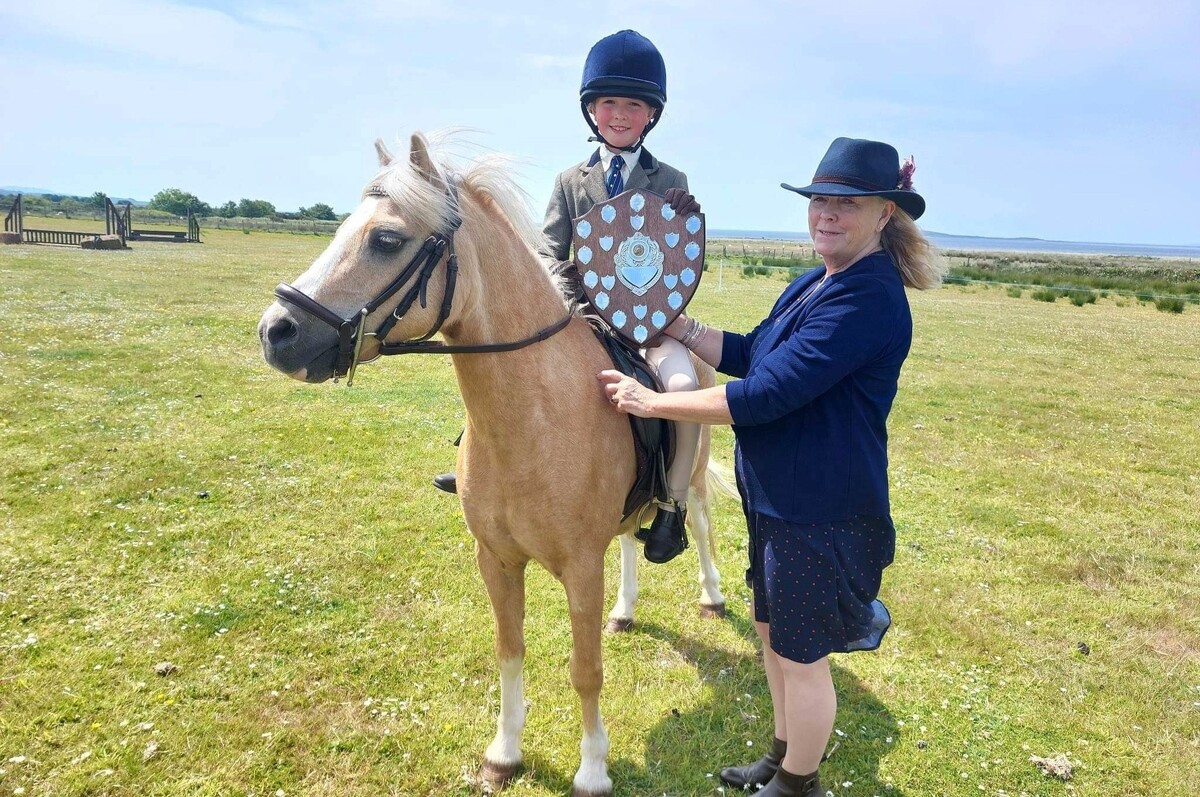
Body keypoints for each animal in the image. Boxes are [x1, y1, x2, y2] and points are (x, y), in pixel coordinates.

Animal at [258, 133, 724, 792]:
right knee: (631, 539)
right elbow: (510, 651)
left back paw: (711, 595)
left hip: (695, 458)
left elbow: (586, 670)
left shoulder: (581, 567)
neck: (531, 418)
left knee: (698, 523)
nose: (276, 333)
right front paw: (504, 753)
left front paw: (592, 770)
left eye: (386, 239)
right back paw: (625, 612)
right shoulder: (496, 560)